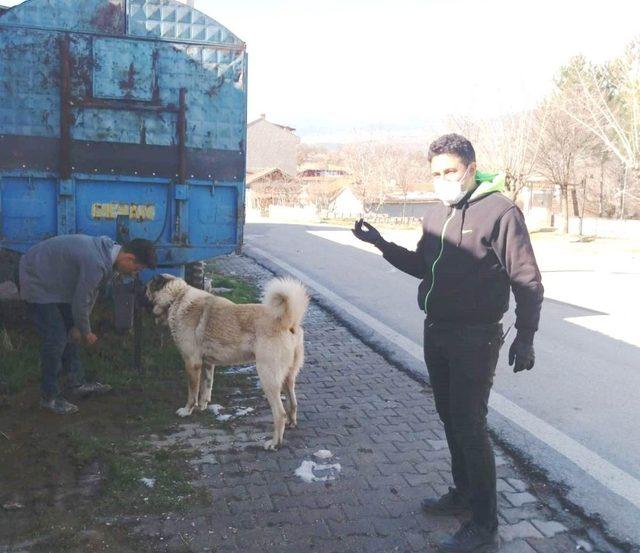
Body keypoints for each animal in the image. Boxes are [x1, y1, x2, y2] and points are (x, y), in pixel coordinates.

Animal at [146, 272, 310, 448]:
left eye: (147, 287)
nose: (140, 290)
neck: (176, 297)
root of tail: (288, 322)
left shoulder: (192, 363)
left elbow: (192, 392)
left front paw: (187, 410)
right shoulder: (207, 364)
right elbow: (206, 386)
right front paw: (202, 406)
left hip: (268, 378)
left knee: (280, 413)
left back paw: (274, 443)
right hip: (288, 377)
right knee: (293, 403)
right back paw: (291, 423)